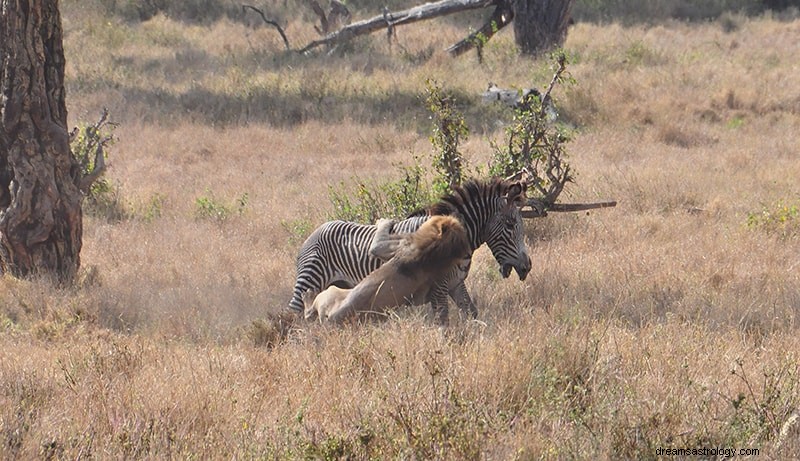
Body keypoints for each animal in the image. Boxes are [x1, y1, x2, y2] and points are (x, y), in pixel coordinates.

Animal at [304, 215, 472, 324]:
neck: (433, 247)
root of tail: (331, 317)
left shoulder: (385, 247)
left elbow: (377, 243)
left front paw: (384, 221)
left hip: (330, 292)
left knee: (308, 311)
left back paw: (308, 294)